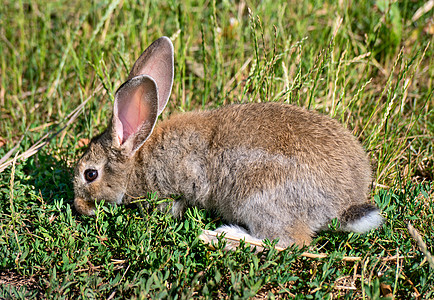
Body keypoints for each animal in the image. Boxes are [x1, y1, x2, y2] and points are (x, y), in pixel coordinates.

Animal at [74, 36, 384, 246]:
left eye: (91, 174)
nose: (79, 207)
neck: (136, 159)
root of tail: (344, 203)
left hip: (259, 197)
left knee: (288, 242)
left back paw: (220, 236)